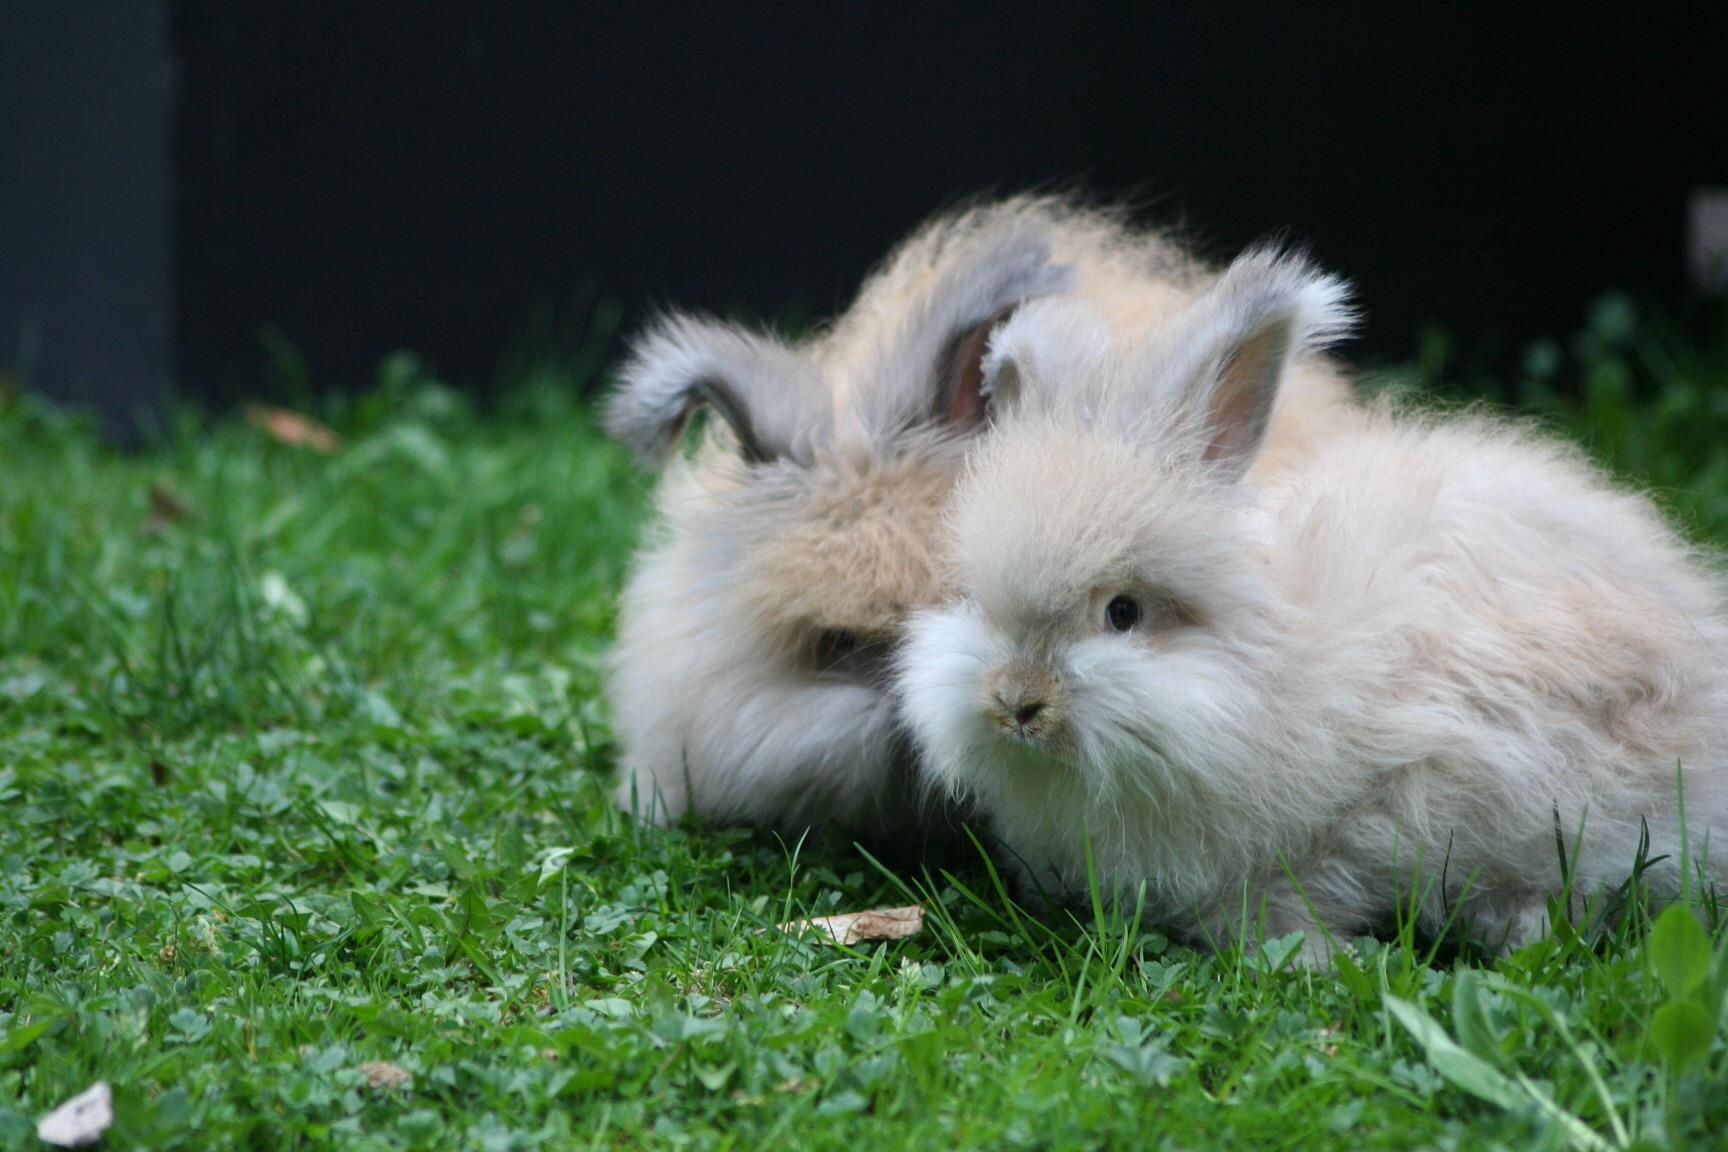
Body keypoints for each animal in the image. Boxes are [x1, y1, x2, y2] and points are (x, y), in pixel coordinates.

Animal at [896, 248, 1728, 964]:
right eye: (979, 604)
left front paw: (1320, 957)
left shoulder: (1367, 808)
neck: (1268, 667)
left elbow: (1285, 903)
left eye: (1123, 613)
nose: (1018, 702)